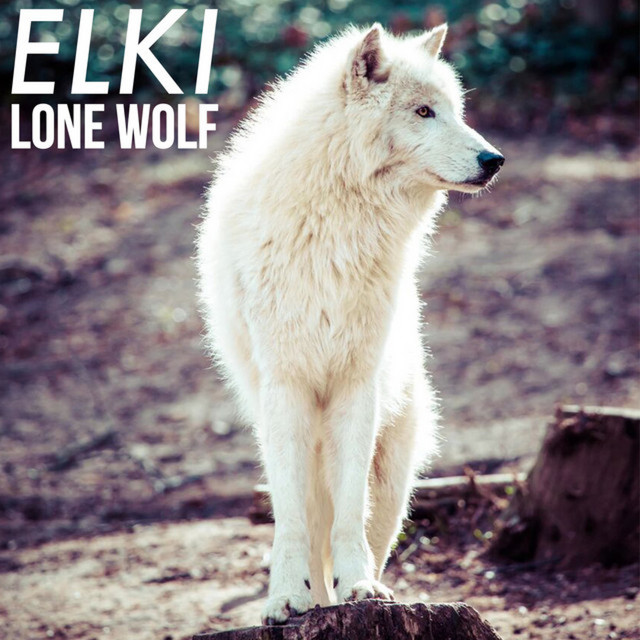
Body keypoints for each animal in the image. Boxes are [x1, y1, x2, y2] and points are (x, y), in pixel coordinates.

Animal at [196, 23, 503, 624]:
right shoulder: (287, 387)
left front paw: (360, 587)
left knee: (364, 525)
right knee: (308, 520)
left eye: (455, 111)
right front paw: (284, 598)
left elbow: (349, 516)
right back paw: (312, 600)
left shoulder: (355, 385)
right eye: (424, 111)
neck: (338, 225)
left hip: (393, 478)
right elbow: (291, 524)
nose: (495, 159)